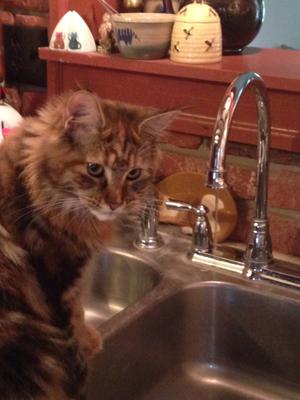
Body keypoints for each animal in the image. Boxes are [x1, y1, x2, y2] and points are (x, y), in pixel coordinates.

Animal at [0, 90, 178, 400]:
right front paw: (83, 348)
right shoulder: (57, 279)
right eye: (95, 169)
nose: (115, 203)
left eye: (134, 174)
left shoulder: (75, 278)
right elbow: (72, 326)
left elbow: (79, 311)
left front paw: (89, 337)